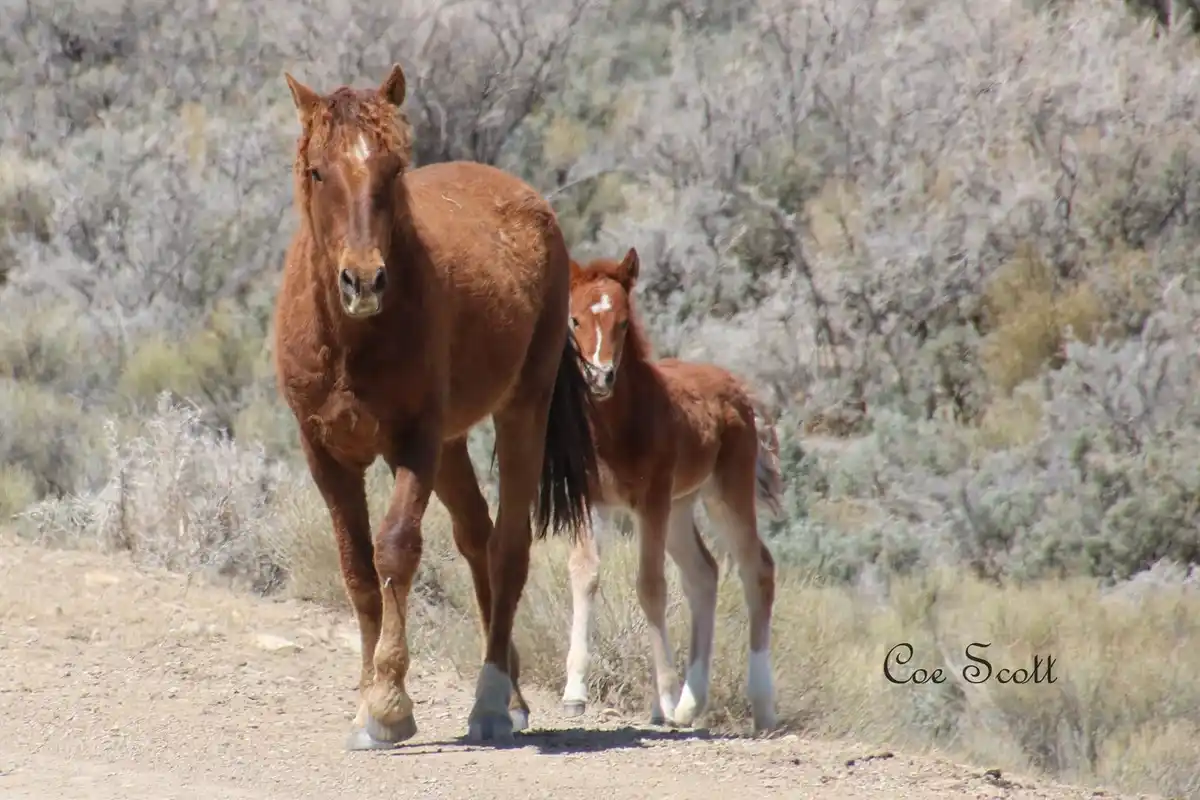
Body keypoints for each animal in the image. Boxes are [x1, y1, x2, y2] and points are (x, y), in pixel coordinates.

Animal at [273, 64, 598, 750]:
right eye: (317, 171)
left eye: (393, 168)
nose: (363, 281)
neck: (351, 337)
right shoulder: (326, 454)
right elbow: (357, 570)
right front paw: (366, 699)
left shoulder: (414, 444)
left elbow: (395, 550)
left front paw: (390, 702)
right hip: (452, 447)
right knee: (477, 538)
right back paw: (516, 695)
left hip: (520, 411)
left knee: (507, 549)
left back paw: (493, 700)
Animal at [560, 248, 783, 733]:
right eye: (574, 320)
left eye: (624, 322)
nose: (600, 377)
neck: (615, 424)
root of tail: (741, 392)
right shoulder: (591, 499)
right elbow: (585, 573)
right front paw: (574, 691)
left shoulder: (651, 501)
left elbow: (650, 586)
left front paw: (662, 692)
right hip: (682, 506)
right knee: (704, 573)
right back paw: (689, 703)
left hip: (725, 494)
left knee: (757, 569)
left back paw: (761, 704)